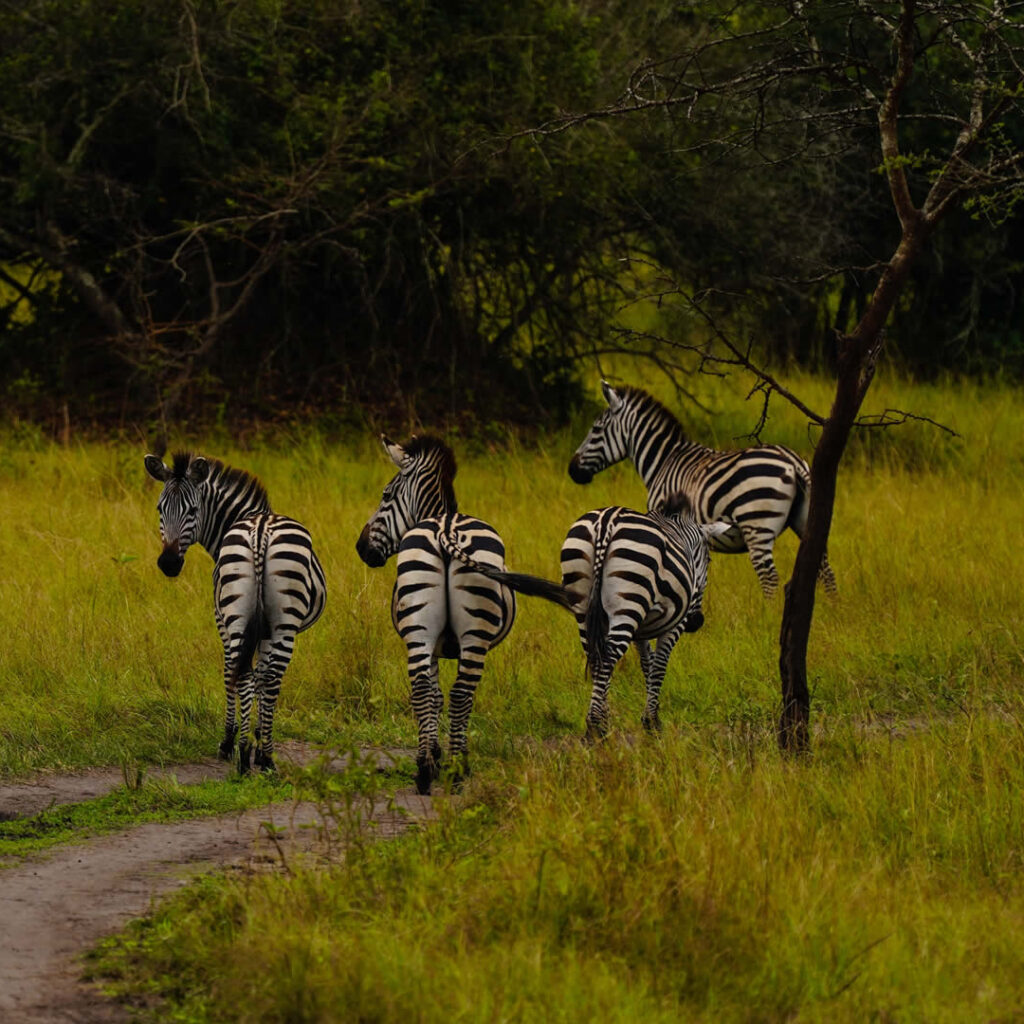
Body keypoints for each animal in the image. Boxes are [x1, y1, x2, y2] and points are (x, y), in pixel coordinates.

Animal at [144, 452, 325, 770]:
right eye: (159, 509)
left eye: (193, 510)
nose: (168, 563)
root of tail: (260, 531)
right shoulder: (252, 627)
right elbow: (252, 674)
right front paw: (249, 738)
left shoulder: (230, 621)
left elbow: (240, 672)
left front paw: (245, 737)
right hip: (279, 623)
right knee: (265, 677)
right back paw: (257, 755)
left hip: (251, 617)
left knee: (250, 674)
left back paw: (249, 753)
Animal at [356, 432, 516, 790]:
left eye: (385, 495)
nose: (361, 548)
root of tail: (446, 529)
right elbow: (445, 696)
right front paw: (447, 756)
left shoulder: (432, 645)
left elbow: (434, 695)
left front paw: (434, 755)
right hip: (473, 635)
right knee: (461, 694)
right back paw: (456, 769)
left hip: (419, 625)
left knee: (421, 689)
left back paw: (425, 771)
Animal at [436, 493, 733, 737]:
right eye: (709, 560)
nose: (697, 622)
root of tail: (606, 522)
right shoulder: (673, 625)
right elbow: (658, 667)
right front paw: (652, 723)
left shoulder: (641, 629)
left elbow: (646, 665)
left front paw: (644, 717)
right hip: (628, 600)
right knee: (609, 656)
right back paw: (595, 727)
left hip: (582, 598)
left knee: (596, 655)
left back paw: (599, 722)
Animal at [569, 380, 839, 598]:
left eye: (596, 430)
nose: (572, 470)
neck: (664, 460)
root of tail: (792, 461)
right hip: (806, 519)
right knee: (825, 570)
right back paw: (832, 611)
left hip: (757, 524)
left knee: (770, 577)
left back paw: (769, 618)